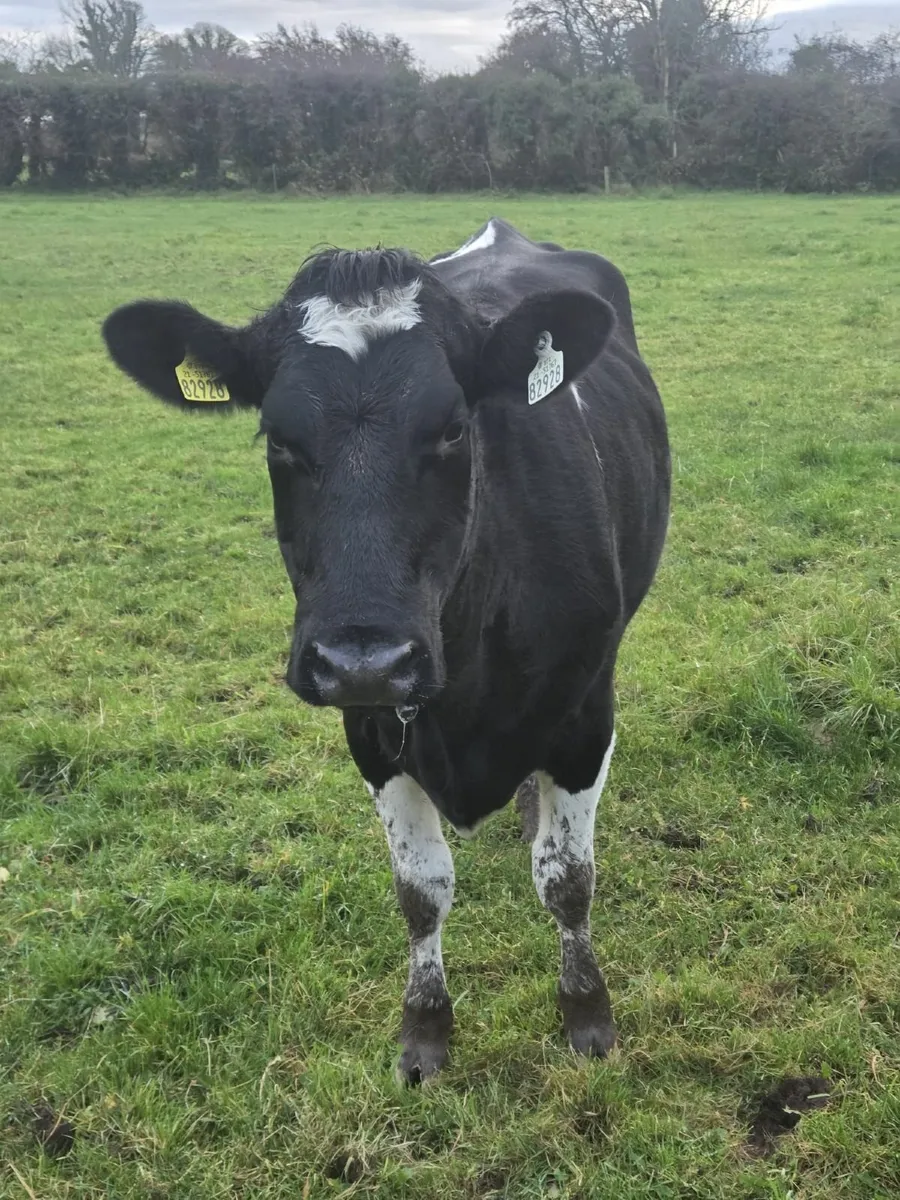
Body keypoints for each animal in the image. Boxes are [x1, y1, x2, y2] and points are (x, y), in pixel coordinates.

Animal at [102, 217, 670, 1084]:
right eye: (277, 438)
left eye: (454, 428)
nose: (365, 659)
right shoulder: (370, 729)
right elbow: (421, 889)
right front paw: (426, 1029)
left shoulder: (585, 712)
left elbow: (567, 878)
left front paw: (587, 1014)